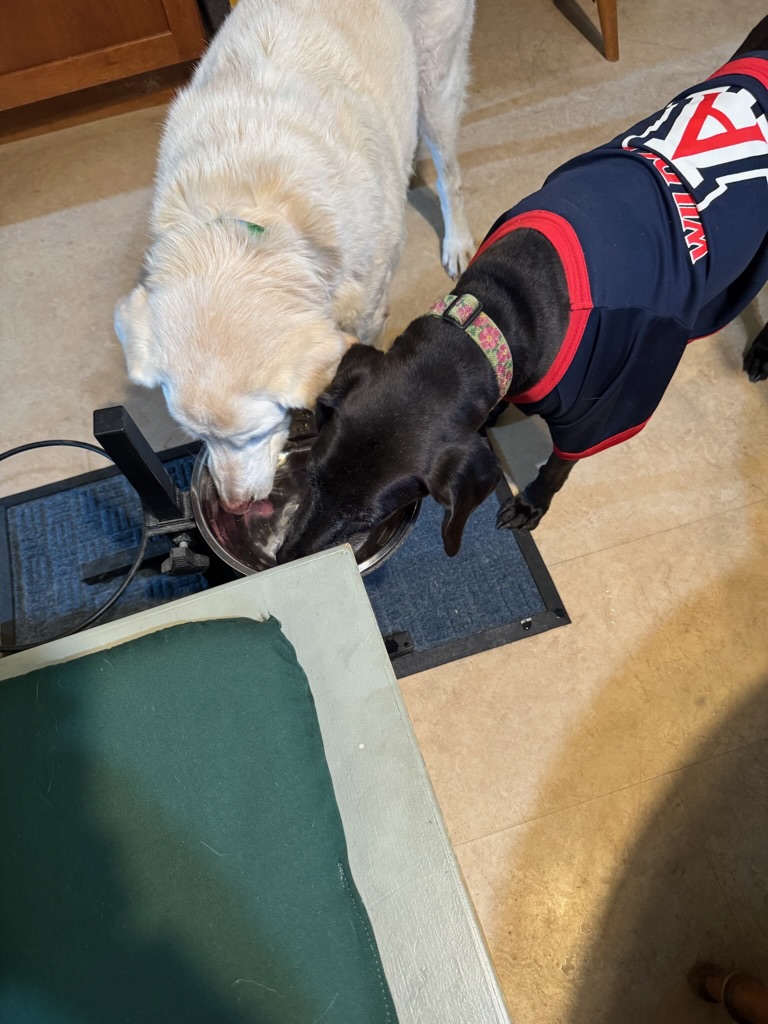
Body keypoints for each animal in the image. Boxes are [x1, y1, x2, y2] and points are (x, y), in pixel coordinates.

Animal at [114, 0, 476, 513]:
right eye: (197, 438)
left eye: (254, 434)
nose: (234, 507)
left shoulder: (367, 309)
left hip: (437, 78)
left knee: (450, 173)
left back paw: (457, 239)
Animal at [279, 18, 768, 562]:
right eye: (313, 474)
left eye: (364, 517)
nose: (283, 560)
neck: (501, 310)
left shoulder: (608, 401)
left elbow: (560, 463)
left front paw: (533, 503)